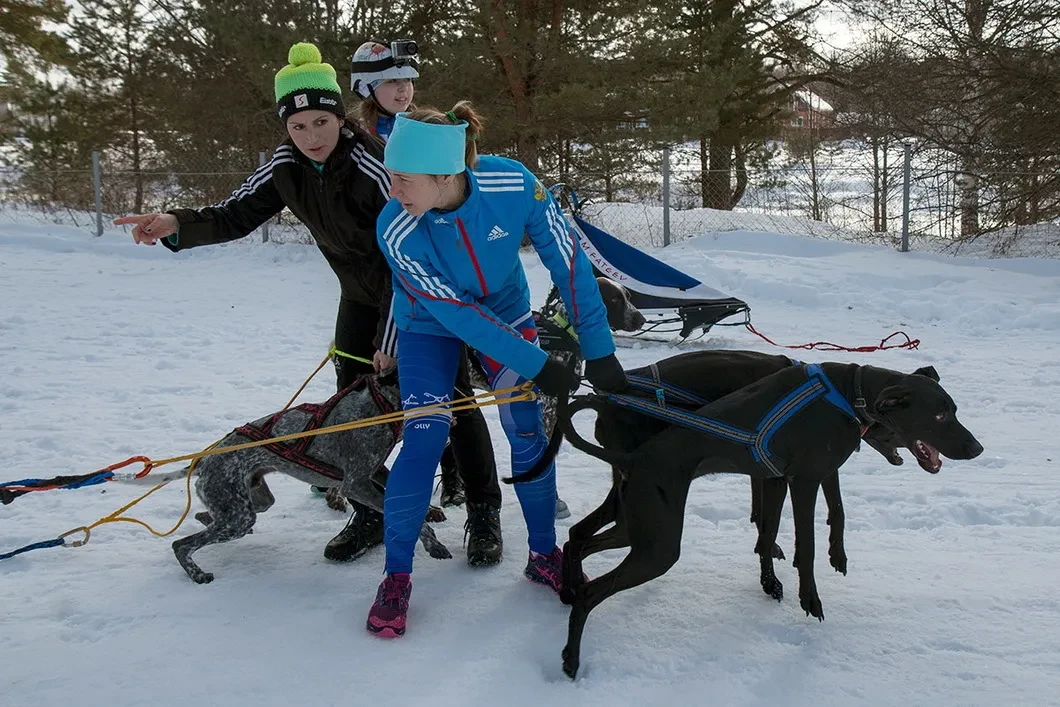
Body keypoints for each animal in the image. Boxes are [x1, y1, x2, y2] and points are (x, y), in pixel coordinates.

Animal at [121, 373, 451, 585]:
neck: (379, 407)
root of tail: (203, 460)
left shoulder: (375, 473)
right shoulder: (357, 483)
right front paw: (432, 543)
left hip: (252, 503)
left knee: (208, 517)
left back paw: (208, 524)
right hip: (237, 515)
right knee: (182, 544)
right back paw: (197, 573)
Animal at [527, 362, 975, 678]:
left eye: (954, 410)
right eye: (939, 417)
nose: (977, 448)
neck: (849, 394)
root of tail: (633, 458)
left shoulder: (798, 474)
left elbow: (819, 517)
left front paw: (832, 557)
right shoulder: (802, 480)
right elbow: (804, 544)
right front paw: (809, 597)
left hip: (639, 528)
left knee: (578, 539)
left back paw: (567, 591)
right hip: (659, 545)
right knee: (590, 589)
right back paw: (570, 659)